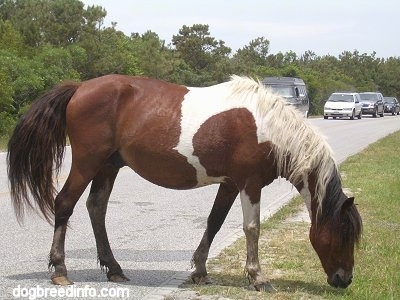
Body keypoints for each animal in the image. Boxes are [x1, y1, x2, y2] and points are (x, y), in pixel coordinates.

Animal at [6, 74, 362, 290]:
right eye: (342, 234)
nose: (344, 279)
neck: (269, 128)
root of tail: (80, 88)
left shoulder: (230, 184)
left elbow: (215, 222)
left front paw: (200, 271)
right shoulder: (249, 183)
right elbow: (252, 228)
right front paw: (258, 277)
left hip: (108, 165)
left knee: (96, 208)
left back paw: (114, 268)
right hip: (87, 162)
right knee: (64, 203)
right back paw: (60, 270)